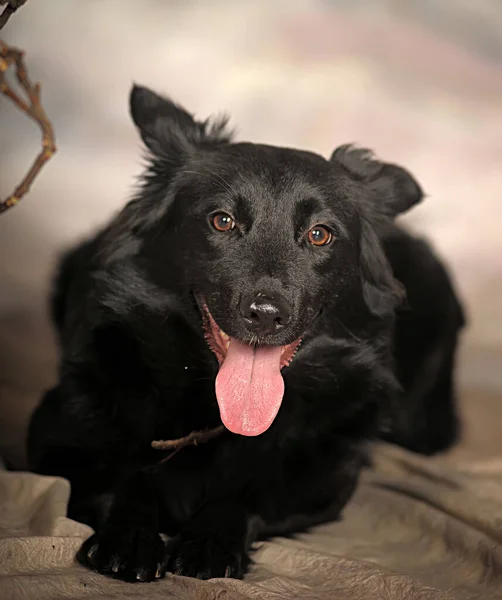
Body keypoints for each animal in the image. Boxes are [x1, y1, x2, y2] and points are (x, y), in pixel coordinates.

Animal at [27, 85, 464, 580]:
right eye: (222, 221)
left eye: (319, 234)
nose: (266, 315)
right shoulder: (55, 438)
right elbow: (125, 478)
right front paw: (130, 536)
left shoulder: (324, 479)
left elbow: (247, 494)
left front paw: (210, 541)